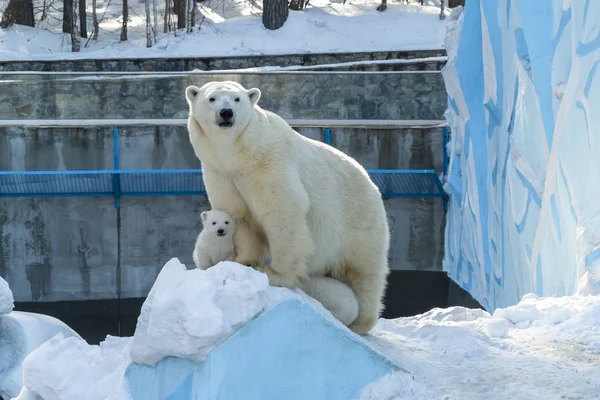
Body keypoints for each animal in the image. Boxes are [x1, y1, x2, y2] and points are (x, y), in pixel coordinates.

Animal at [183, 80, 390, 334]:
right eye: (212, 98)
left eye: (237, 99)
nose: (226, 113)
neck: (238, 155)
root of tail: (372, 184)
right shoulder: (221, 173)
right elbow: (239, 215)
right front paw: (244, 262)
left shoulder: (269, 163)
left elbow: (282, 209)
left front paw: (274, 273)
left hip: (358, 222)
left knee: (363, 272)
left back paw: (361, 320)